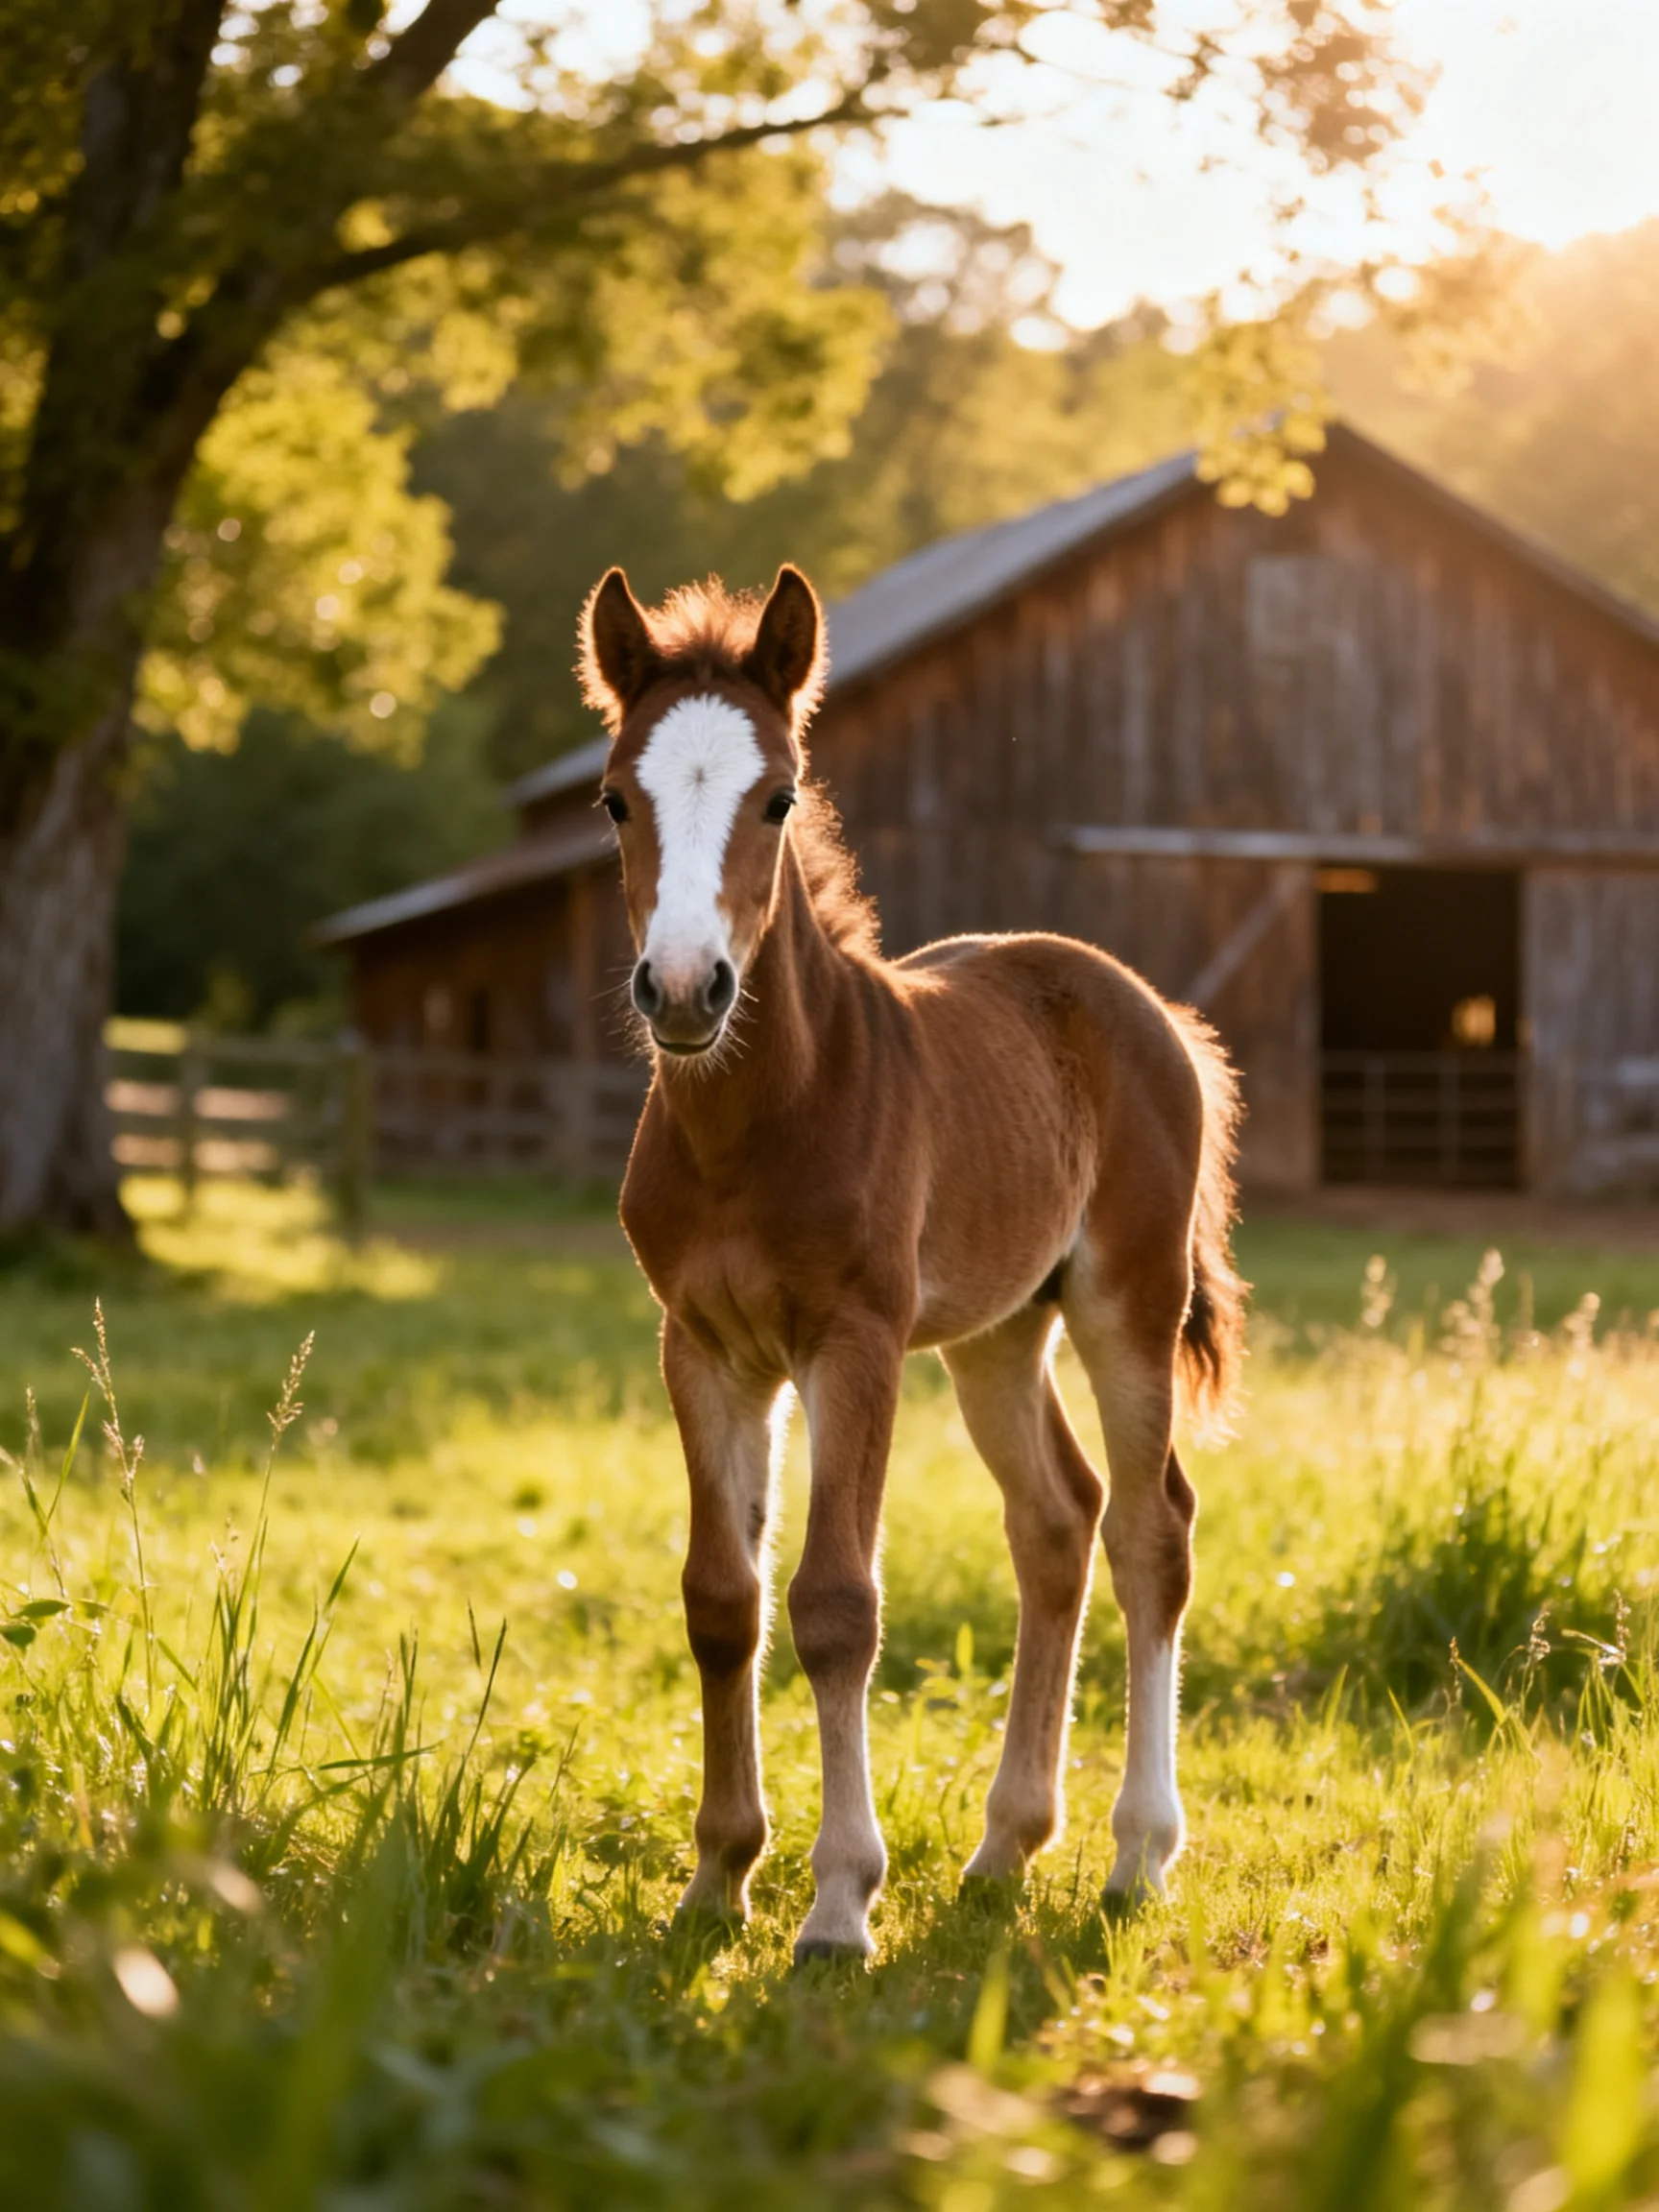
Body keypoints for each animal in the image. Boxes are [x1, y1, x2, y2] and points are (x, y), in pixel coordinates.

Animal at [580, 561, 1246, 1963]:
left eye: (779, 796)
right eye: (615, 797)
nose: (685, 988)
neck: (761, 1117)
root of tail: (1153, 1010)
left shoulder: (856, 1341)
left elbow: (837, 1605)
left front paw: (839, 1903)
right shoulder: (702, 1349)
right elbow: (722, 1601)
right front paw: (716, 1879)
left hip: (1126, 1300)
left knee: (1151, 1529)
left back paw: (1136, 1857)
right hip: (1000, 1332)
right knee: (1057, 1522)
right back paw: (1005, 1850)